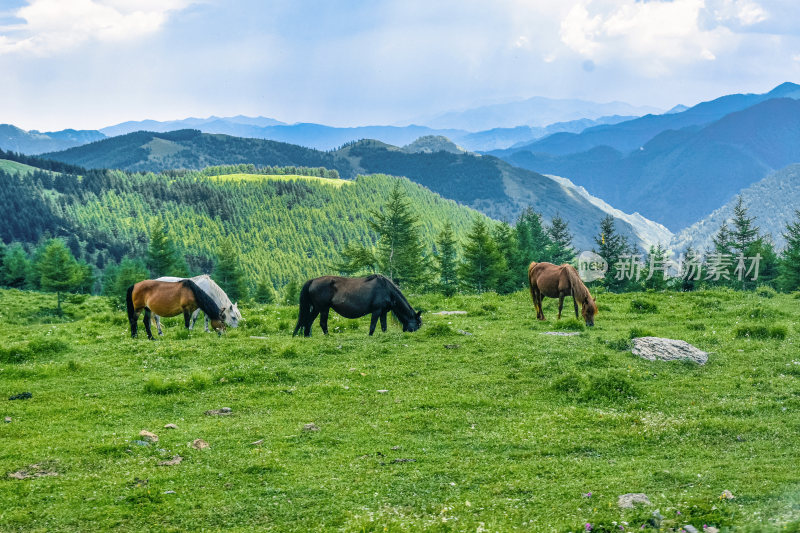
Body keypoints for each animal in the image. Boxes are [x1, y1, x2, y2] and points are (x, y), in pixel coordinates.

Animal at [290, 274, 422, 336]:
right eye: (418, 324)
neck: (386, 289)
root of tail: (313, 280)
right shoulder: (377, 311)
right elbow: (373, 326)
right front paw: (370, 336)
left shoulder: (383, 312)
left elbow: (384, 326)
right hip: (323, 309)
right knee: (322, 323)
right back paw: (327, 336)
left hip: (316, 309)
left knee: (308, 321)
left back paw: (307, 336)